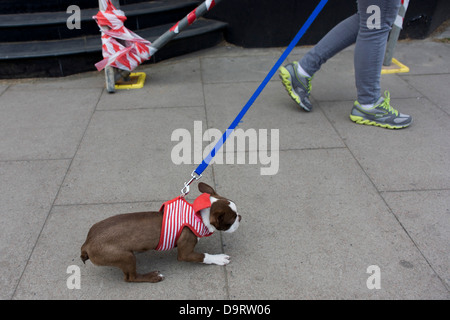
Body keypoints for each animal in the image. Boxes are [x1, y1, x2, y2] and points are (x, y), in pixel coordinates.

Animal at [81, 182, 243, 282]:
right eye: (231, 220)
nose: (240, 218)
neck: (197, 216)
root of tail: (87, 243)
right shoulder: (185, 253)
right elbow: (203, 256)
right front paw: (218, 258)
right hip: (125, 257)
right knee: (130, 278)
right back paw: (152, 276)